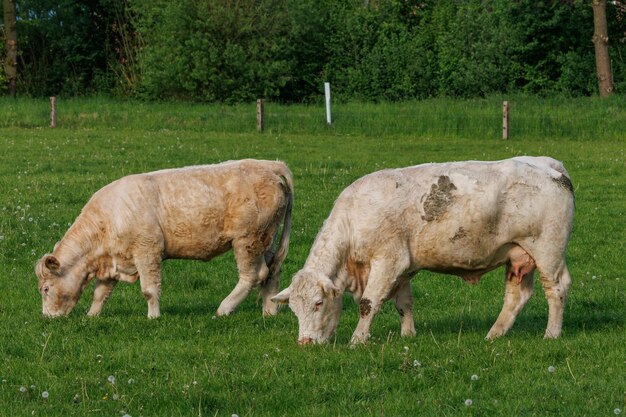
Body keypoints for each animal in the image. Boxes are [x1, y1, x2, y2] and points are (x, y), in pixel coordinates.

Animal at [36, 159, 292, 318]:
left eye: (46, 289)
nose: (48, 317)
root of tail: (269, 165)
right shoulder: (113, 260)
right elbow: (101, 293)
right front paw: (91, 315)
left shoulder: (147, 251)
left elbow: (149, 289)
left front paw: (153, 316)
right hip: (266, 239)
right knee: (272, 269)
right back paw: (269, 311)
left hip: (247, 239)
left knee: (253, 275)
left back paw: (224, 309)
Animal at [270, 156, 572, 344]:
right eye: (294, 310)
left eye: (318, 303)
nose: (305, 342)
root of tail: (549, 164)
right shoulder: (403, 268)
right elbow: (404, 304)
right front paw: (408, 335)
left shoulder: (388, 261)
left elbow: (369, 304)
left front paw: (358, 340)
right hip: (518, 255)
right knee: (516, 296)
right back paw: (494, 334)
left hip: (548, 251)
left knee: (556, 289)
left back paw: (551, 334)